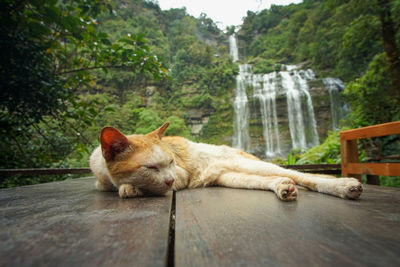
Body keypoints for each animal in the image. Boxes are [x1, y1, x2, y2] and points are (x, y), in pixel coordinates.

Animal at [90, 123, 362, 201]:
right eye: (150, 167)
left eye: (170, 162)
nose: (169, 179)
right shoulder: (100, 182)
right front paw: (128, 187)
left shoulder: (180, 176)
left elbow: (149, 187)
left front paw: (132, 188)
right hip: (229, 177)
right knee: (275, 178)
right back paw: (282, 188)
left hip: (248, 164)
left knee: (306, 177)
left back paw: (345, 186)